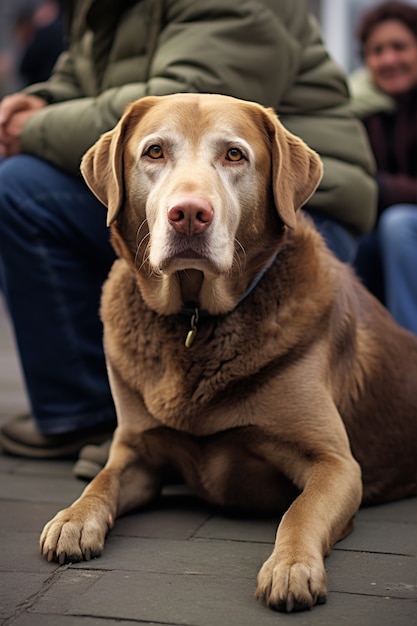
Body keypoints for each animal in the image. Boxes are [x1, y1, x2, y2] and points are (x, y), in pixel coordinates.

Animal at [39, 92, 416, 608]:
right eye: (154, 151)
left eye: (234, 155)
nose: (189, 213)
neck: (195, 318)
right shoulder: (135, 449)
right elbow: (102, 482)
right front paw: (73, 519)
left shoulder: (336, 463)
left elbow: (300, 510)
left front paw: (290, 567)